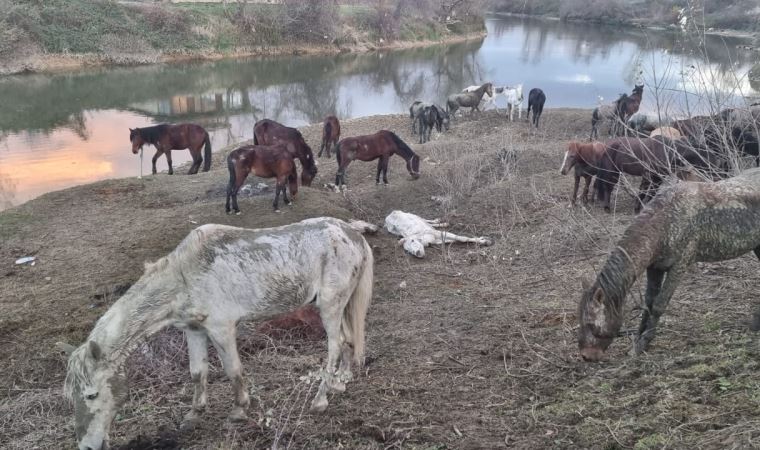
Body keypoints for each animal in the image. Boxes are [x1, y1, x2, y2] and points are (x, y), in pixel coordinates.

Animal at [60, 218, 376, 450]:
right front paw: (193, 415)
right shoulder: (194, 330)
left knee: (334, 345)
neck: (184, 277)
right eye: (71, 398)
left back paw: (321, 400)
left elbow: (232, 370)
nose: (87, 446)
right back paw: (340, 382)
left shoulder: (221, 328)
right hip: (340, 305)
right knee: (348, 341)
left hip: (330, 306)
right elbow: (197, 372)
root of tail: (353, 235)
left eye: (91, 394)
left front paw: (239, 411)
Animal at [580, 169, 760, 362]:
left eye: (591, 323)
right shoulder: (655, 267)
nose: (586, 356)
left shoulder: (680, 265)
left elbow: (659, 304)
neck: (666, 222)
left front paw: (644, 343)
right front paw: (637, 340)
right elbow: (649, 302)